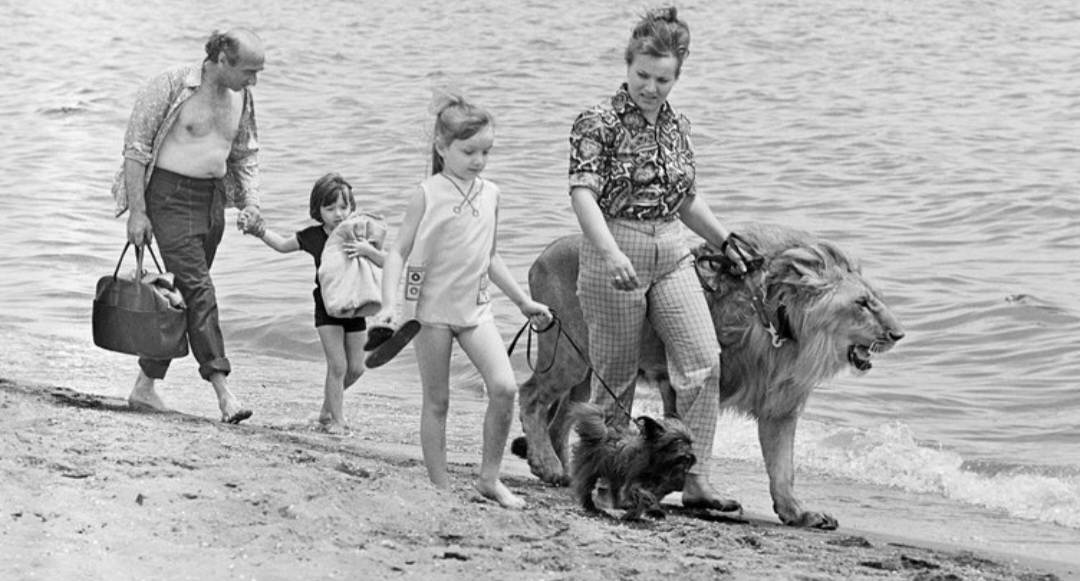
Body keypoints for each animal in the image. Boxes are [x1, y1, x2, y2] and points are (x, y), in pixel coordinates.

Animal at [511, 222, 902, 529]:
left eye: (877, 300)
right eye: (862, 304)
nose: (899, 334)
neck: (782, 326)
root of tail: (542, 254)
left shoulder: (779, 406)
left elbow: (782, 468)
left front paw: (798, 513)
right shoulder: (674, 379)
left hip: (585, 369)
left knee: (562, 421)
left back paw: (561, 472)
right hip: (568, 356)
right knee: (531, 396)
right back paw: (549, 465)